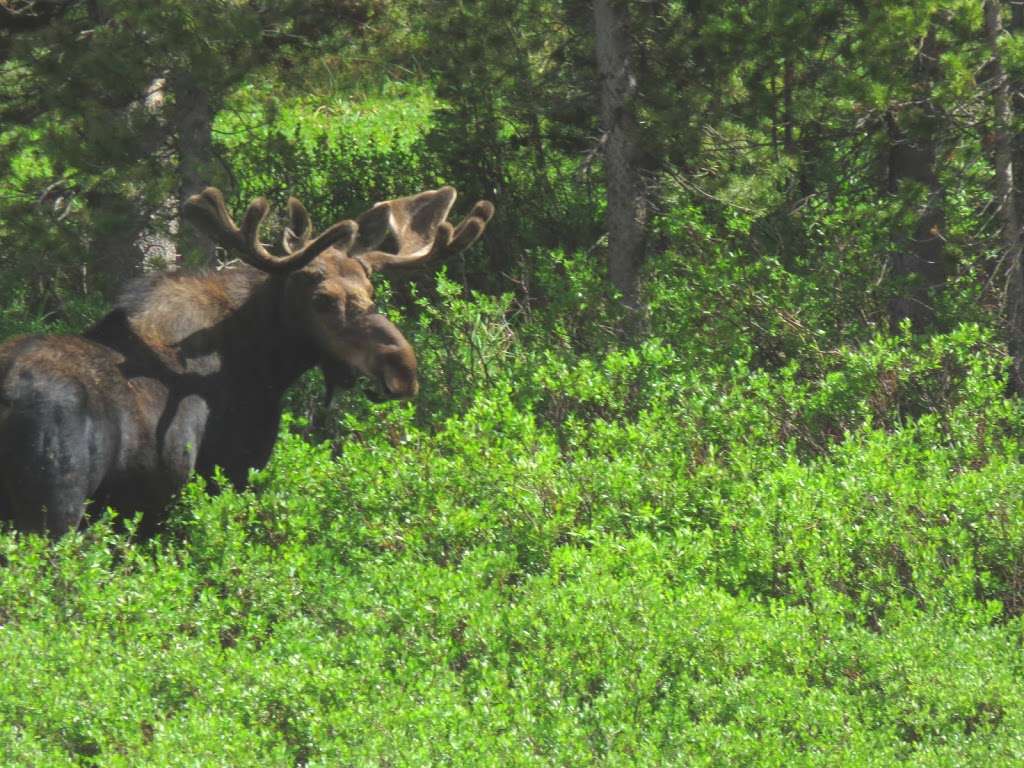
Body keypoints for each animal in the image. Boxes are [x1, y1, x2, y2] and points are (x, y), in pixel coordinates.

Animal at [0, 186, 495, 536]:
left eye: (372, 292)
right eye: (321, 299)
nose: (403, 371)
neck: (266, 367)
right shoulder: (227, 472)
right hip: (54, 511)